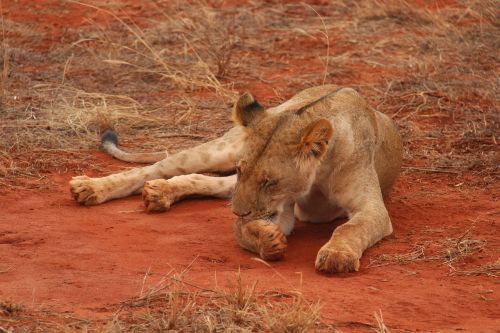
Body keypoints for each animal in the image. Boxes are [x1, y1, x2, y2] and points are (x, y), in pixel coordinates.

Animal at [70, 85, 402, 272]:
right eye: (243, 170)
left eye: (270, 182)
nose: (237, 212)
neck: (317, 175)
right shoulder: (275, 205)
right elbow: (243, 230)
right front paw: (266, 239)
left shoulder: (373, 209)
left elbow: (350, 228)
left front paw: (336, 255)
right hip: (220, 150)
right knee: (153, 168)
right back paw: (90, 187)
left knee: (201, 180)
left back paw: (160, 193)